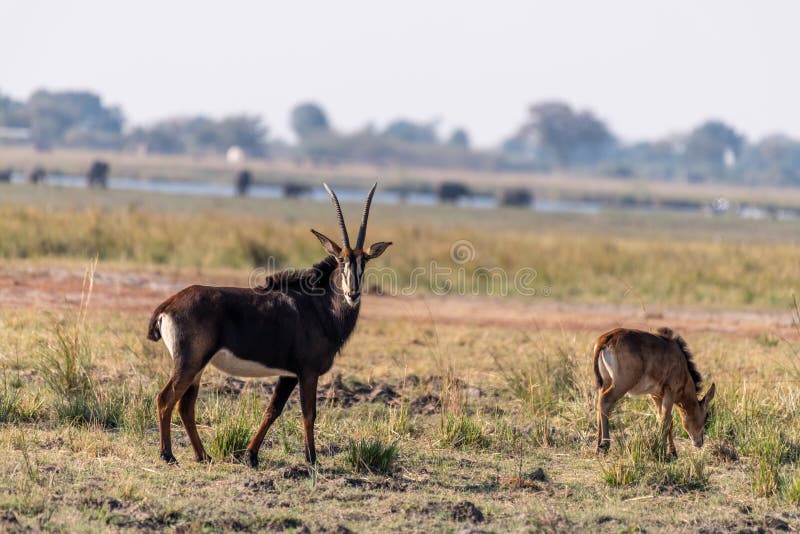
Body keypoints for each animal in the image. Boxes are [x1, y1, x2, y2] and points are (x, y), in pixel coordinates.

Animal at [148, 184, 394, 468]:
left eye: (364, 261)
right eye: (341, 260)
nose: (353, 293)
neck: (319, 306)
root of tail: (168, 304)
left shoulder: (289, 374)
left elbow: (272, 410)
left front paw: (251, 455)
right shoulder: (307, 371)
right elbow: (308, 412)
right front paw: (312, 459)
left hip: (197, 367)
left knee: (185, 406)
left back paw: (203, 456)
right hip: (190, 362)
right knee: (165, 399)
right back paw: (168, 454)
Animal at [592, 328, 716, 458]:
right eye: (706, 417)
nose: (699, 442)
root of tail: (607, 338)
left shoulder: (656, 396)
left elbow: (663, 419)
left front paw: (672, 452)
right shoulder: (669, 392)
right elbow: (666, 421)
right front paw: (663, 452)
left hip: (606, 383)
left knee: (600, 403)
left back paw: (598, 447)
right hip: (621, 385)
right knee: (605, 401)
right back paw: (605, 445)